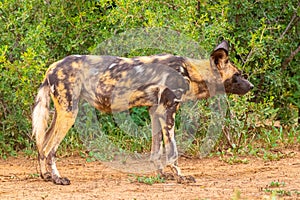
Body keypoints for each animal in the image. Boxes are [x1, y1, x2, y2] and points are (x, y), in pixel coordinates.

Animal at [32, 41, 253, 186]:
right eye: (237, 75)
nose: (251, 86)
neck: (191, 73)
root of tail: (52, 67)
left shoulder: (155, 112)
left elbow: (156, 150)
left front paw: (162, 174)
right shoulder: (168, 112)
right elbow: (172, 151)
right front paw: (181, 177)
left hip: (62, 113)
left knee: (42, 144)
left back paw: (45, 176)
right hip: (70, 113)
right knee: (50, 149)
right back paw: (58, 179)